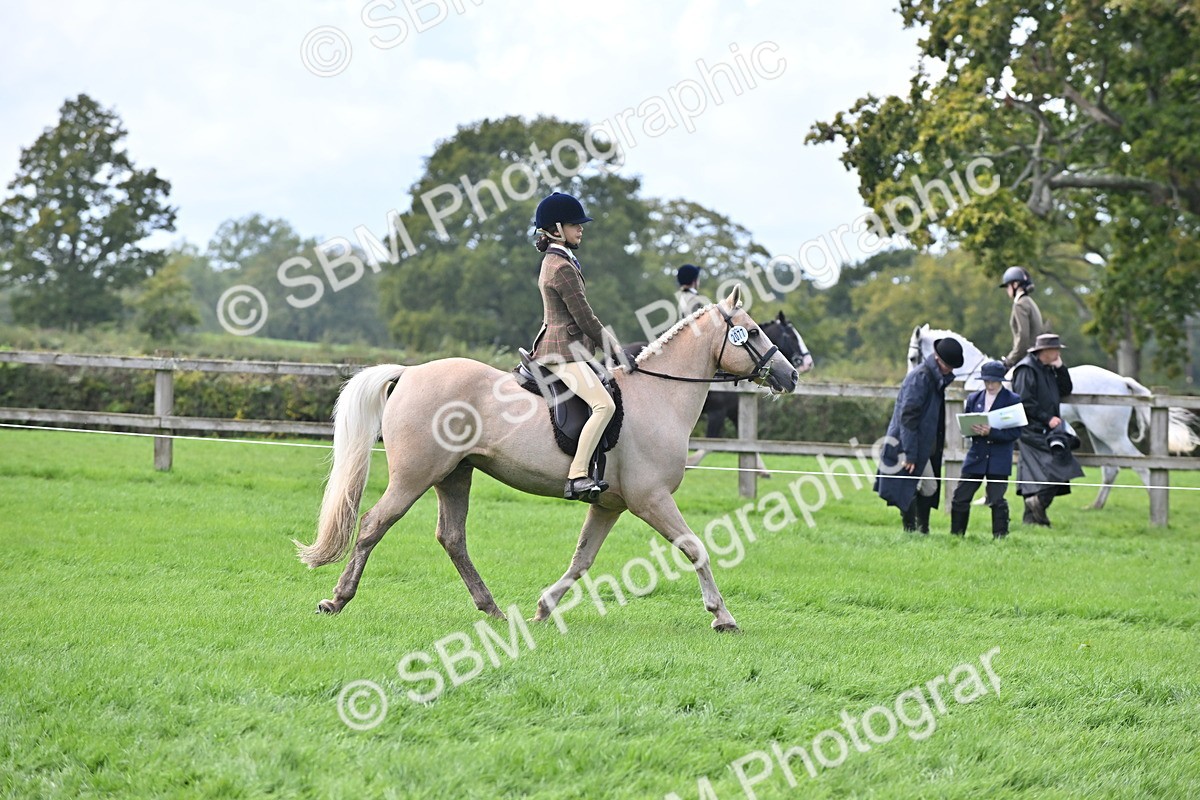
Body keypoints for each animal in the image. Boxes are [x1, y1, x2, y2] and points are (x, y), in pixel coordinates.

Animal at [295, 286, 798, 632]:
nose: (791, 375)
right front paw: (722, 616)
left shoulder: (609, 505)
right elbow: (695, 548)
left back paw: (494, 610)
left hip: (455, 474)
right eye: (754, 332)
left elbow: (582, 560)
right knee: (373, 525)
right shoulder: (650, 499)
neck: (660, 394)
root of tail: (410, 372)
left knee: (452, 538)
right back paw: (337, 599)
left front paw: (544, 607)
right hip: (414, 476)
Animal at [908, 324, 1200, 509]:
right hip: (1099, 435)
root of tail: (1121, 381)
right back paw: (1095, 506)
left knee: (1140, 466)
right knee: (1111, 467)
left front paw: (983, 500)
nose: (913, 375)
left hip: (1112, 435)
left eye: (912, 357)